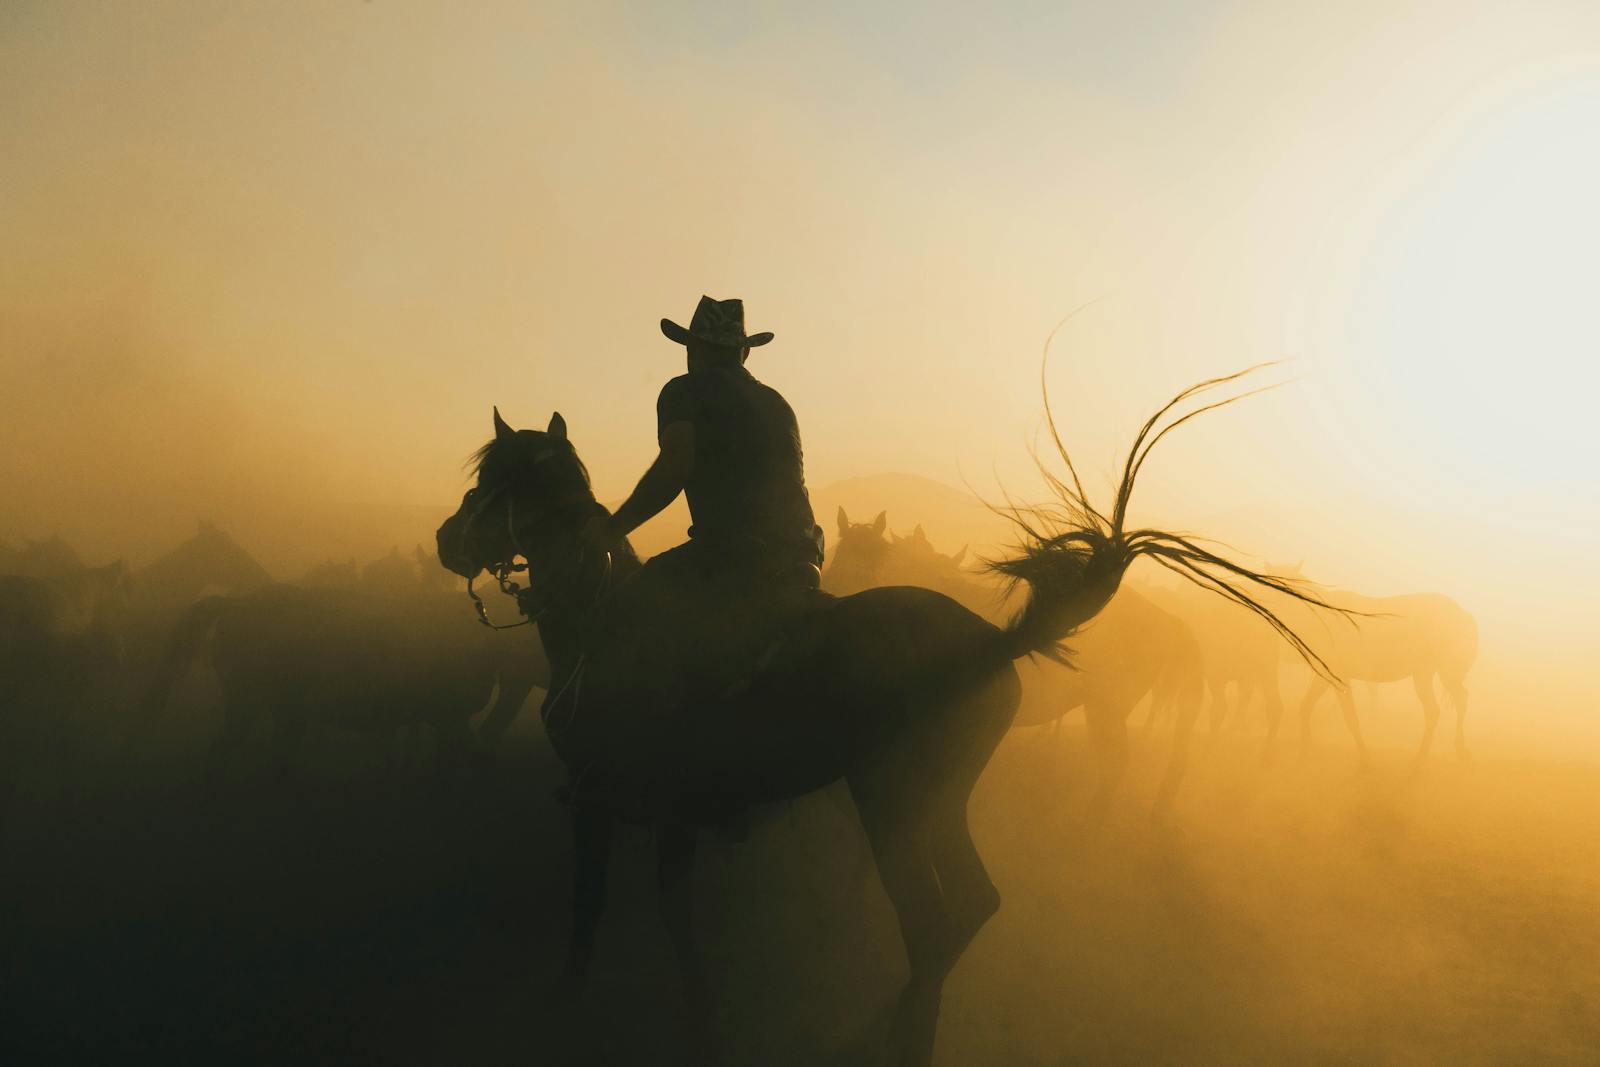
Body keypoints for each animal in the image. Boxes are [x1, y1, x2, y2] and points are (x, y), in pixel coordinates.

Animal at [438, 369, 1324, 1067]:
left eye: (496, 478)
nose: (449, 539)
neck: (601, 621)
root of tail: (991, 642)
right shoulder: (675, 813)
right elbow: (674, 919)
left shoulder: (603, 797)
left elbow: (594, 909)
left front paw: (571, 1006)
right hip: (938, 801)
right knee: (972, 902)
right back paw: (901, 1017)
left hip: (892, 797)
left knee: (931, 917)